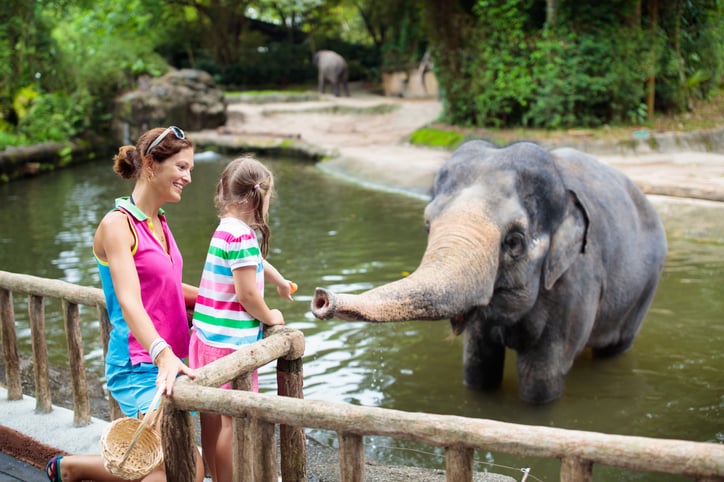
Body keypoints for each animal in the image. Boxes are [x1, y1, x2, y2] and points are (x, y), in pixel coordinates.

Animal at [314, 141, 672, 404]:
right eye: (428, 225)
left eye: (514, 241)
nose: (321, 298)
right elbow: (477, 366)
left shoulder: (576, 281)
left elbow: (540, 376)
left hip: (647, 285)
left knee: (615, 348)